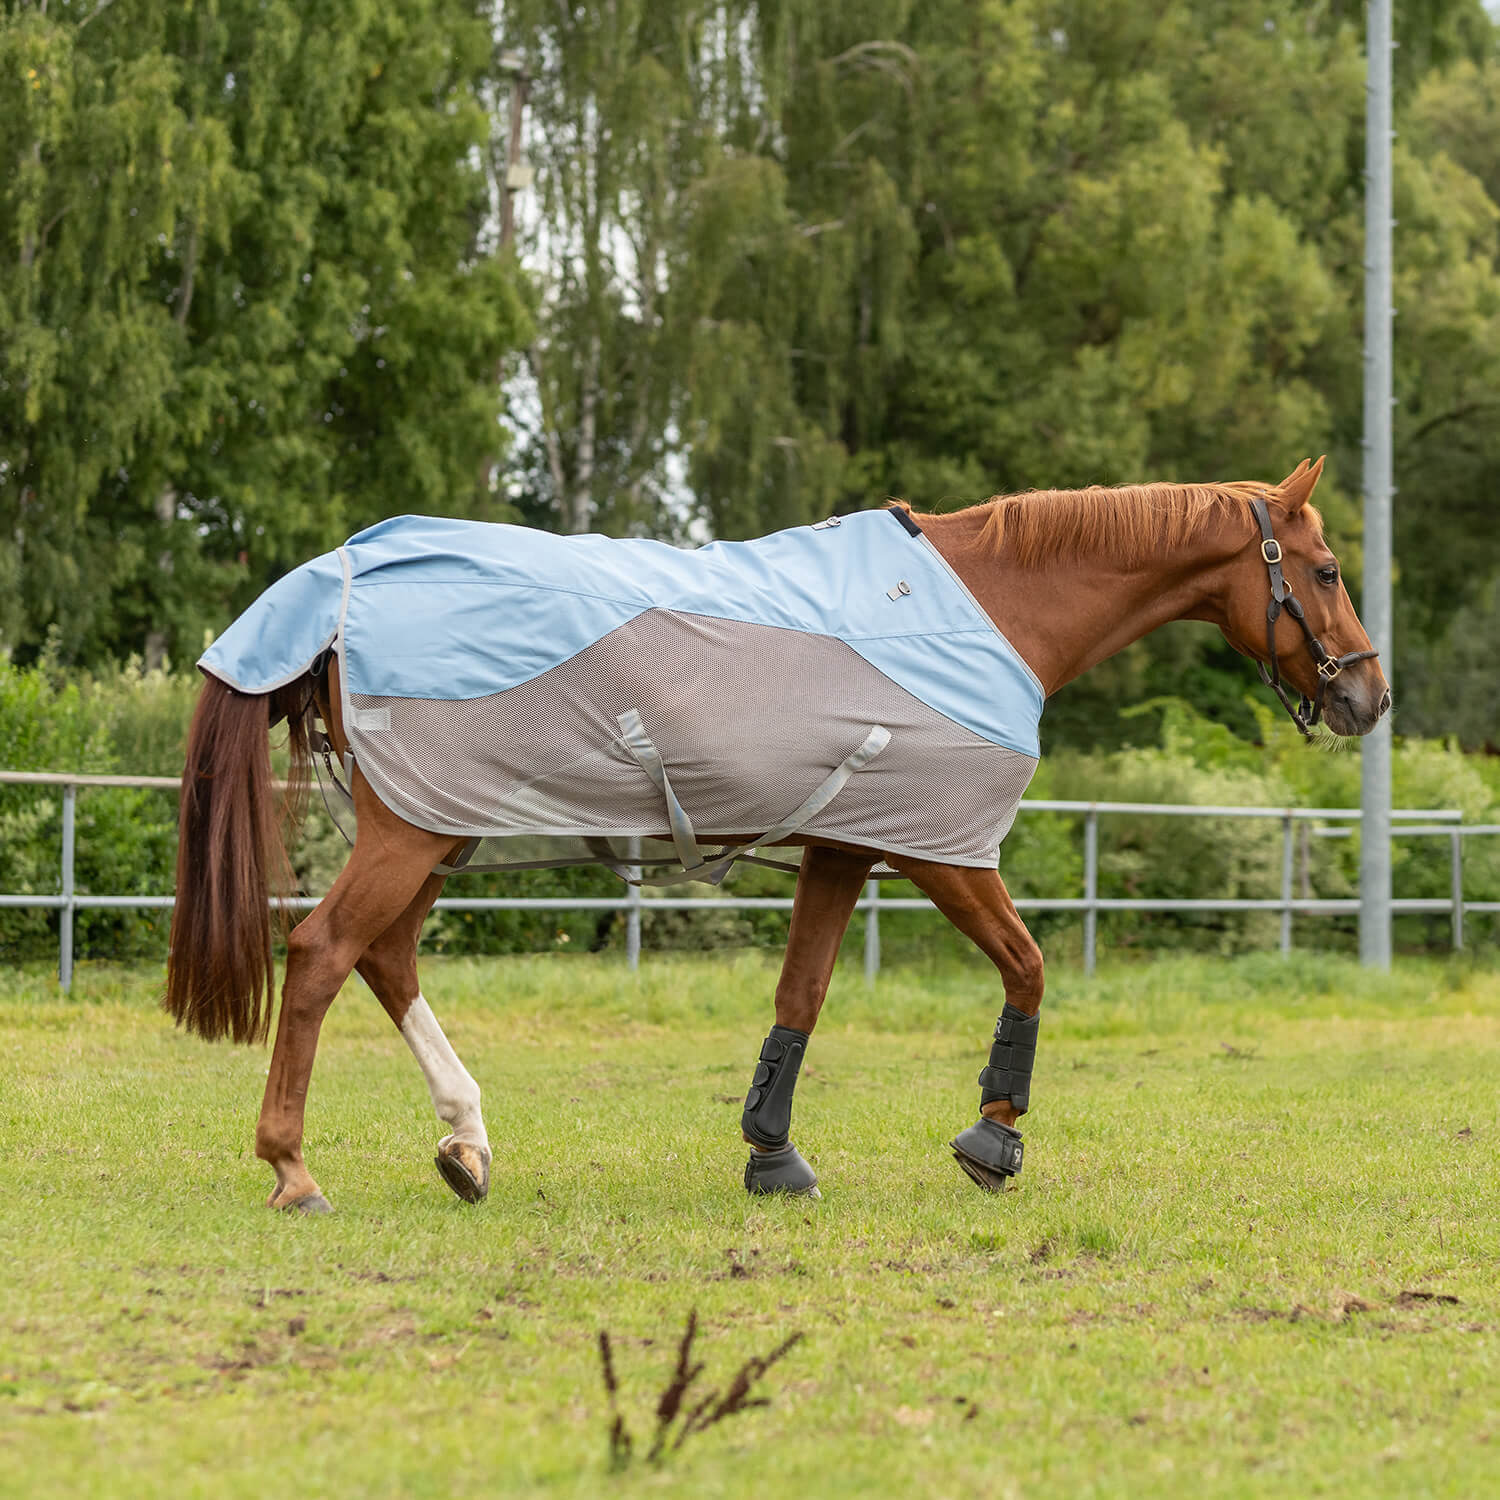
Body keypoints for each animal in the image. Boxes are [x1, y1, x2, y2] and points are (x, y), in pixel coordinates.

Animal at [164, 456, 1389, 1212]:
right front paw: (993, 1137)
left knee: (384, 956)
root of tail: (340, 579)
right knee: (323, 953)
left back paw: (466, 1143)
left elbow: (800, 995)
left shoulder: (845, 845)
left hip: (438, 827)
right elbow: (1030, 966)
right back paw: (293, 1169)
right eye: (1329, 570)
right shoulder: (941, 852)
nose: (1368, 698)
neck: (989, 608)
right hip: (413, 833)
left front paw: (773, 1153)